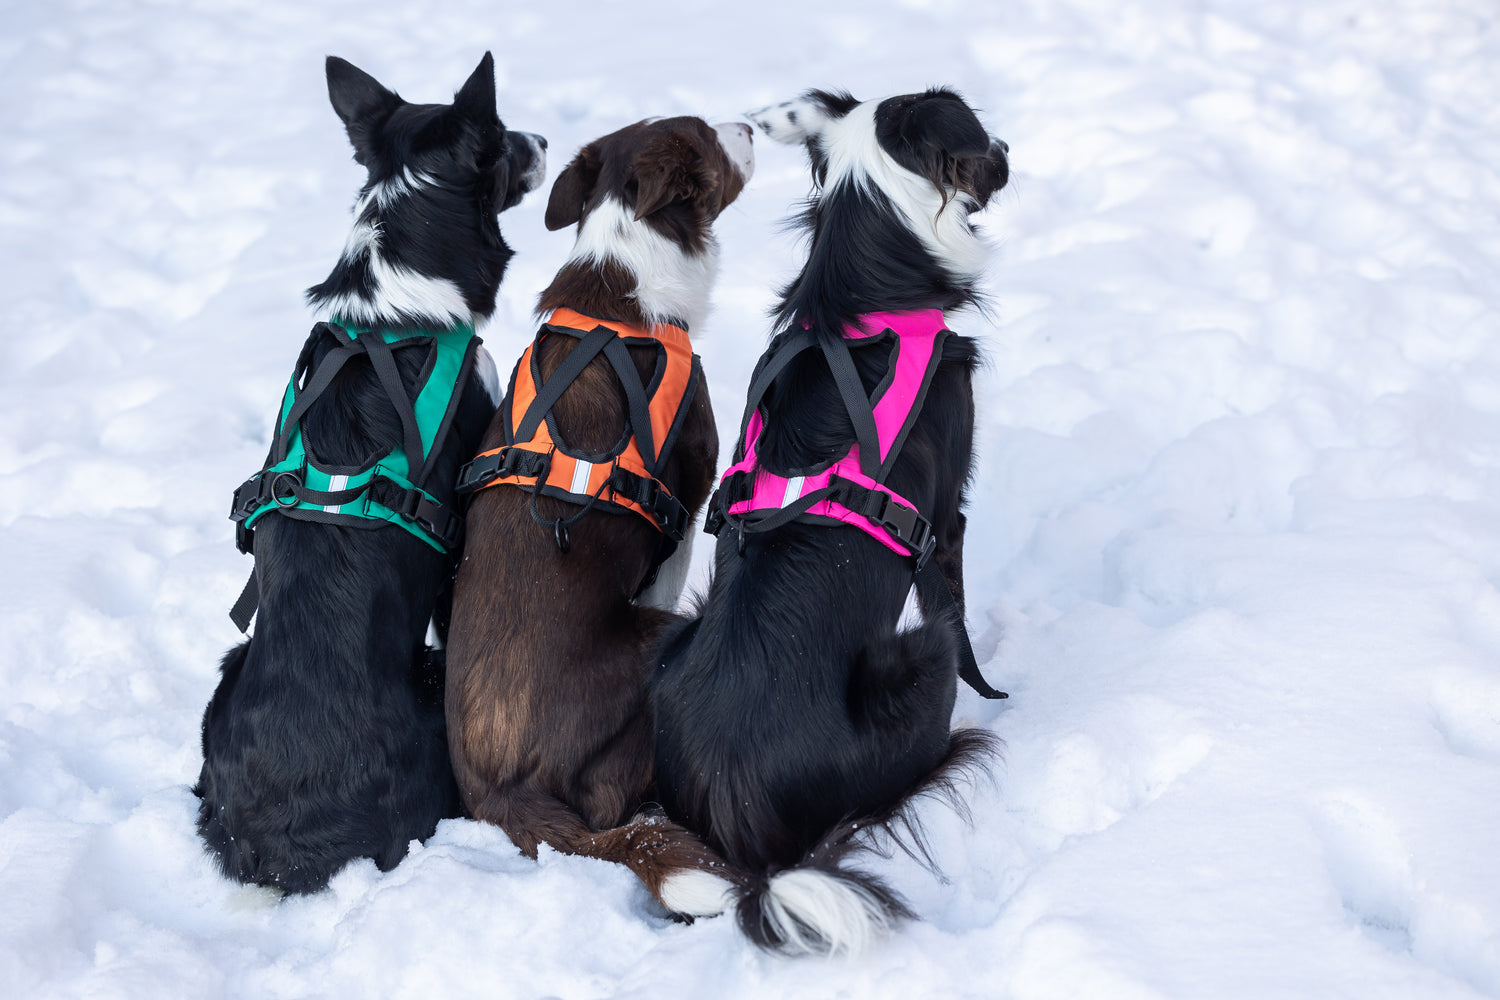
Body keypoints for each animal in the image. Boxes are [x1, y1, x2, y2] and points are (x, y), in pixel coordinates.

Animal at [194, 53, 546, 894]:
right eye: (504, 138)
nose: (547, 140)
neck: (392, 311)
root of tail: (276, 847)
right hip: (430, 696)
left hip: (228, 668)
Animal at [648, 89, 1010, 955]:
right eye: (984, 144)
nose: (1012, 151)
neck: (864, 292)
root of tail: (742, 837)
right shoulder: (946, 520)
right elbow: (963, 623)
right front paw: (998, 696)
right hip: (916, 660)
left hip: (673, 641)